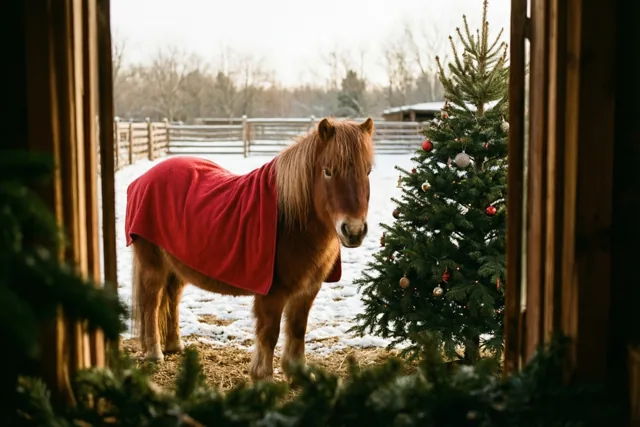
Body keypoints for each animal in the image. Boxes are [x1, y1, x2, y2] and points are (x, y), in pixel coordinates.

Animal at [127, 117, 375, 381]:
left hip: (178, 266)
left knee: (172, 298)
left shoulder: (307, 290)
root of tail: (142, 180)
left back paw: (175, 345)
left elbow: (297, 329)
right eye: (328, 171)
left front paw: (297, 373)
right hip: (152, 264)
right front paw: (263, 378)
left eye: (368, 171)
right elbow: (269, 334)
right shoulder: (272, 293)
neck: (289, 221)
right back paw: (154, 353)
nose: (354, 230)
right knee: (151, 303)